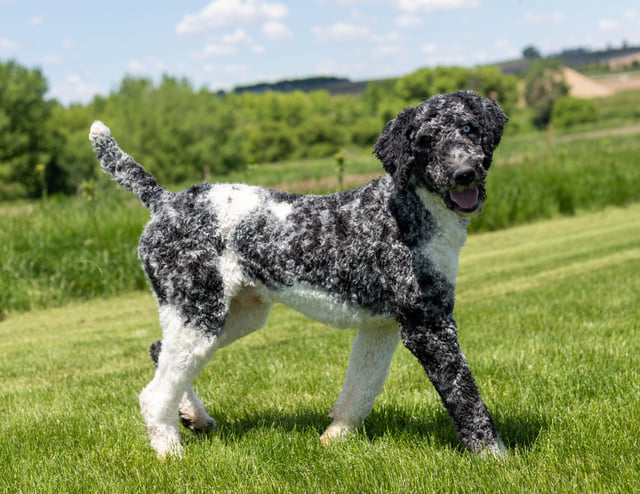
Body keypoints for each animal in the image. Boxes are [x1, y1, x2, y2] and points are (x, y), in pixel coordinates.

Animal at [90, 89, 510, 460]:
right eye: (425, 140)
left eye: (468, 128)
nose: (464, 173)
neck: (407, 210)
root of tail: (165, 201)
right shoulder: (428, 325)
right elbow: (466, 398)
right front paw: (494, 457)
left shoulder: (381, 326)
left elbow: (360, 389)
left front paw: (334, 438)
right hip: (199, 314)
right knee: (154, 394)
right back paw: (170, 453)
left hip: (234, 315)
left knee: (159, 352)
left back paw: (195, 417)